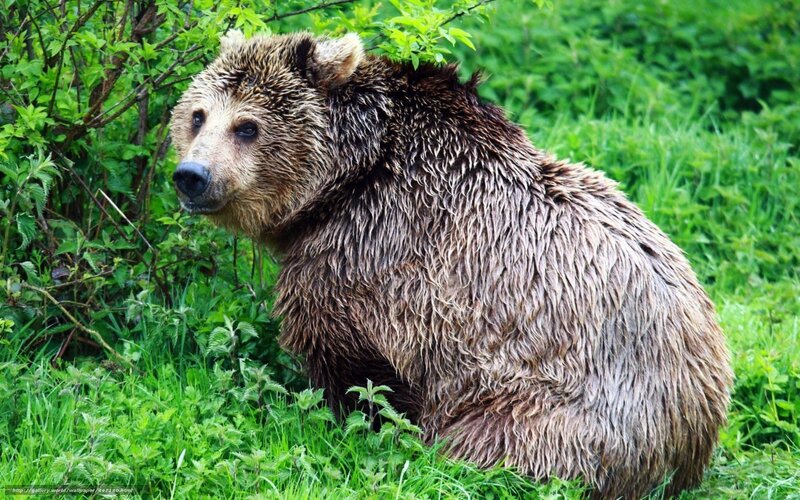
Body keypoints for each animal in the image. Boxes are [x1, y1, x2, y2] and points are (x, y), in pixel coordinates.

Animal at [170, 31, 733, 498]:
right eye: (198, 115)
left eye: (247, 126)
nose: (192, 175)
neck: (346, 178)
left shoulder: (370, 255)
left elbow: (356, 367)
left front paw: (352, 424)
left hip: (558, 410)